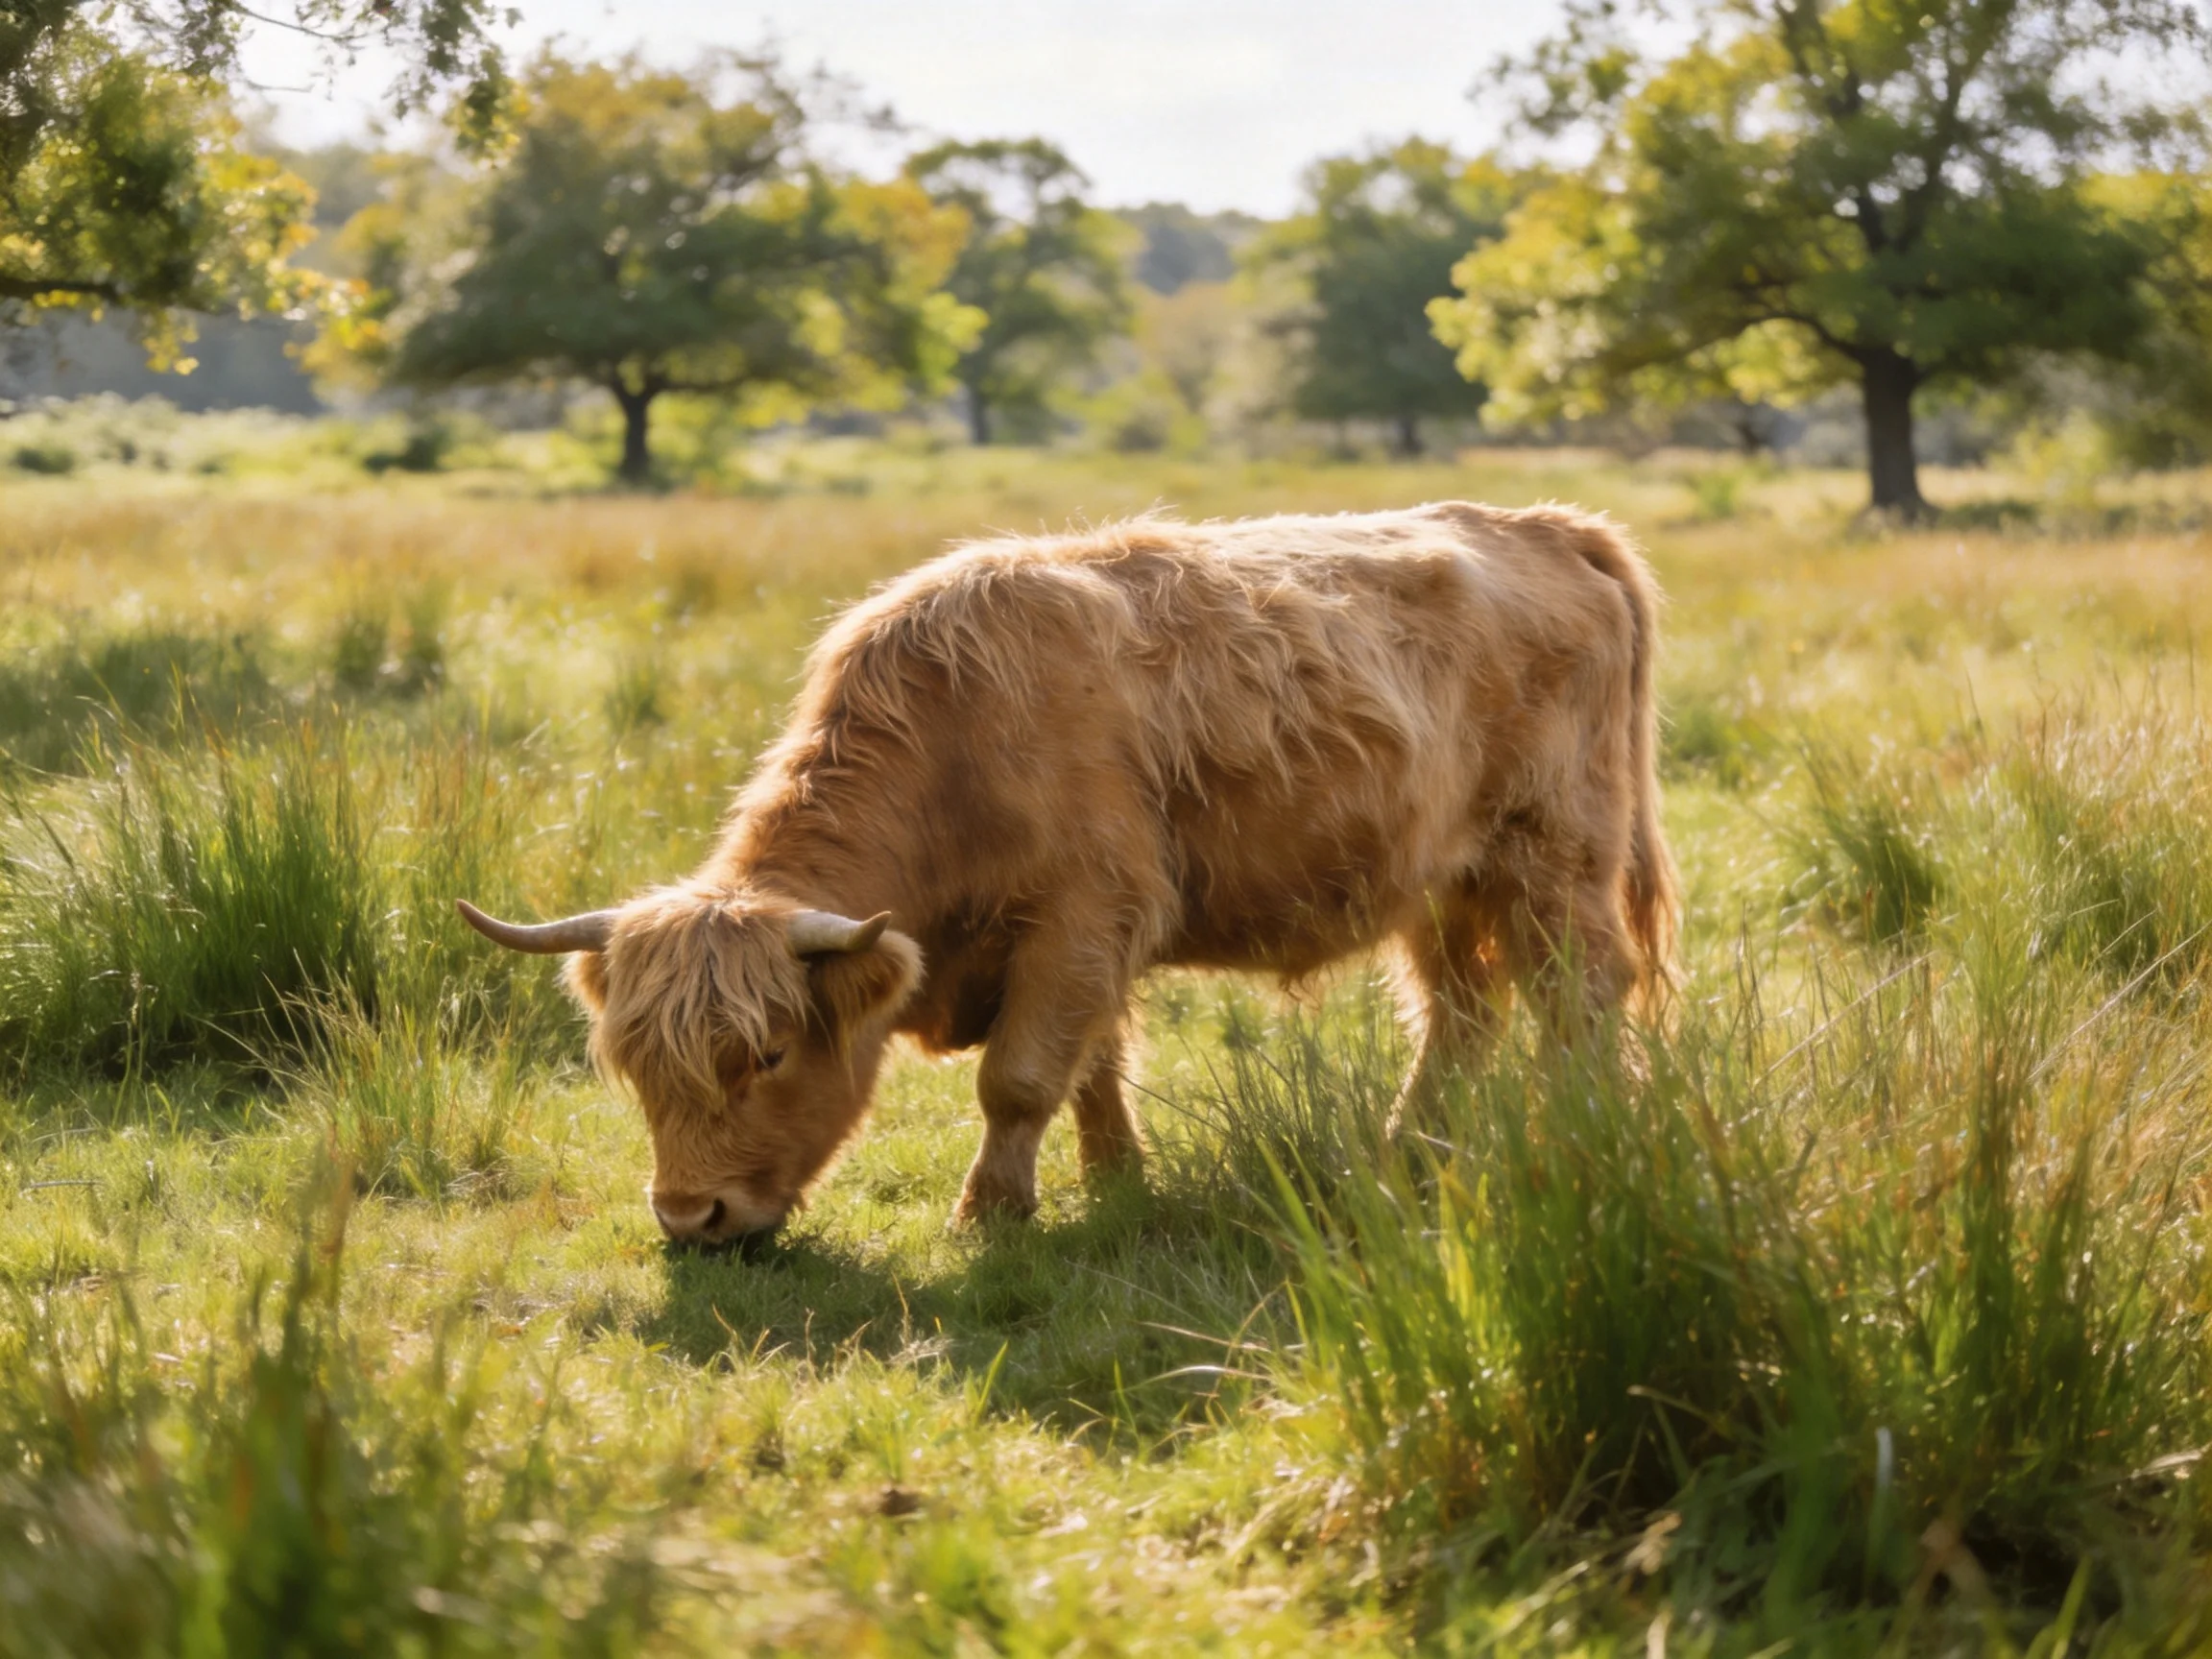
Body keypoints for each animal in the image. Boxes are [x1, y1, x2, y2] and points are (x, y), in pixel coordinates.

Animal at [458, 502, 1678, 1247]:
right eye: (633, 1066)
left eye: (763, 1055)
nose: (689, 1218)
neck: (956, 747)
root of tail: (1550, 528)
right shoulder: (1086, 942)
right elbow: (1095, 1065)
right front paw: (1116, 1180)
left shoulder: (1086, 915)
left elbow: (1021, 1076)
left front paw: (989, 1214)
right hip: (1441, 879)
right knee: (1461, 1009)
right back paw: (1405, 1150)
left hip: (1558, 851)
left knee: (1579, 994)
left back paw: (1582, 1135)